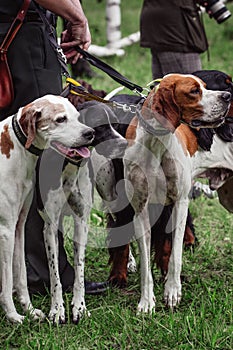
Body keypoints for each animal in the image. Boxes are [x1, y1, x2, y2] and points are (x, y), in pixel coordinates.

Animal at [0, 95, 94, 322]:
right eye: (60, 119)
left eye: (77, 116)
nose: (90, 133)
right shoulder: (6, 230)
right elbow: (9, 281)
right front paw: (14, 316)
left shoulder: (19, 227)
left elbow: (21, 275)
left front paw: (29, 309)